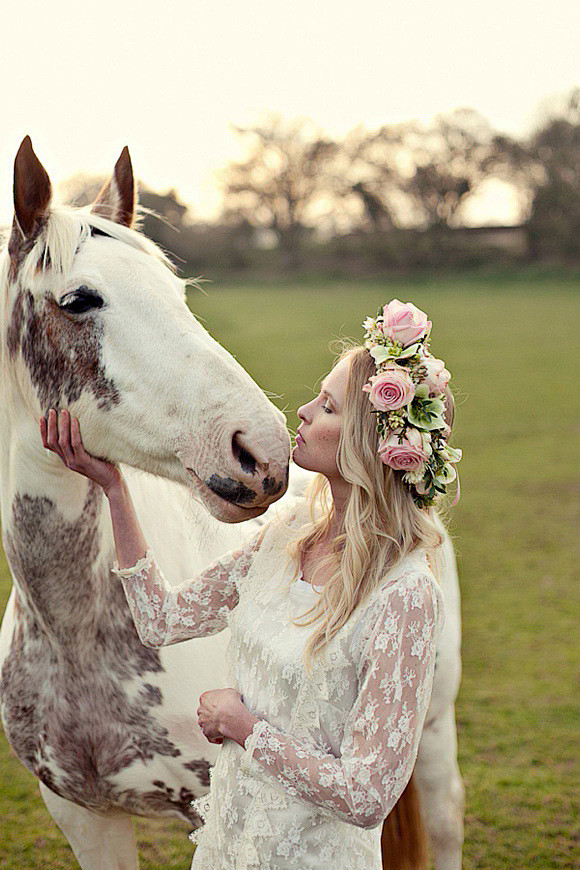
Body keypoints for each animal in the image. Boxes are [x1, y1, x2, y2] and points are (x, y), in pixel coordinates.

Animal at [0, 140, 462, 868]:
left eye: (177, 295)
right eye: (78, 299)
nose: (263, 450)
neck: (76, 633)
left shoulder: (208, 805)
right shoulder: (84, 816)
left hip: (434, 735)